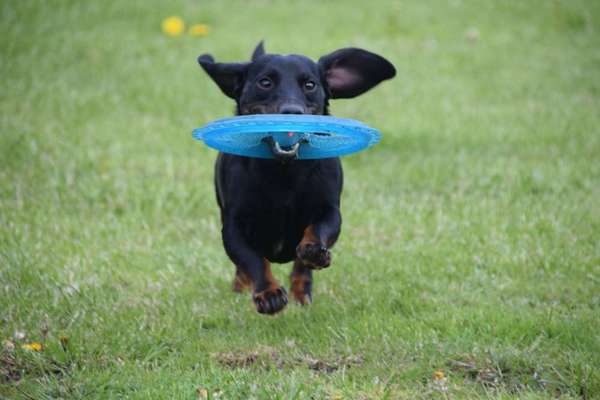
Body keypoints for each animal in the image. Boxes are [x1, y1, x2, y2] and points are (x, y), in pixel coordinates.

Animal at [197, 42, 394, 314]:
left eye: (310, 84)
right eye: (265, 82)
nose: (292, 112)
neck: (284, 171)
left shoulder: (330, 211)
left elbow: (318, 230)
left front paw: (313, 251)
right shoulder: (233, 226)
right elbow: (252, 259)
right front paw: (268, 293)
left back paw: (303, 291)